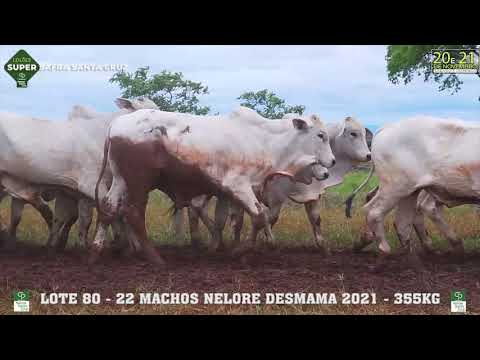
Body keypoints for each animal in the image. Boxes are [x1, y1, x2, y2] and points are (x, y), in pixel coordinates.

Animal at [95, 106, 336, 264]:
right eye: (320, 135)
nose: (332, 163)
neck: (263, 140)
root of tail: (115, 125)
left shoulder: (224, 193)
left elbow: (227, 221)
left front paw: (220, 248)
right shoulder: (238, 186)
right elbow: (259, 217)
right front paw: (240, 251)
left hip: (121, 180)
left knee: (108, 206)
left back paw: (96, 251)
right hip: (140, 182)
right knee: (134, 213)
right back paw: (155, 258)